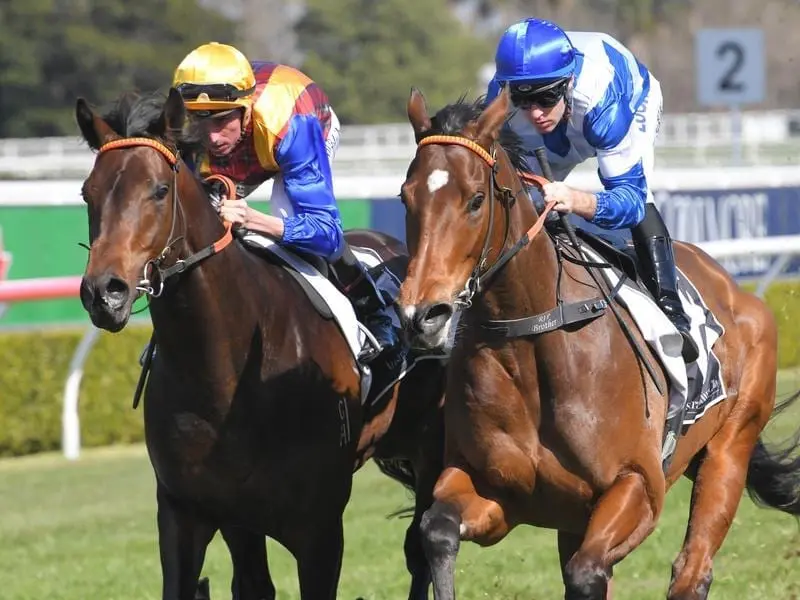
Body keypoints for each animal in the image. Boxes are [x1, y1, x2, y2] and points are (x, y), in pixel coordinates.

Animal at [75, 89, 446, 600]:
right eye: (87, 193)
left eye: (159, 190)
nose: (103, 293)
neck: (224, 372)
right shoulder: (194, 514)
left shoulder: (320, 528)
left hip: (428, 446)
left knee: (420, 548)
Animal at [394, 86, 800, 596]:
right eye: (405, 197)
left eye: (474, 200)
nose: (421, 316)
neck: (531, 342)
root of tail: (737, 290)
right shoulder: (495, 491)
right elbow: (436, 531)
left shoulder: (639, 486)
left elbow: (587, 572)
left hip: (729, 449)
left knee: (691, 570)